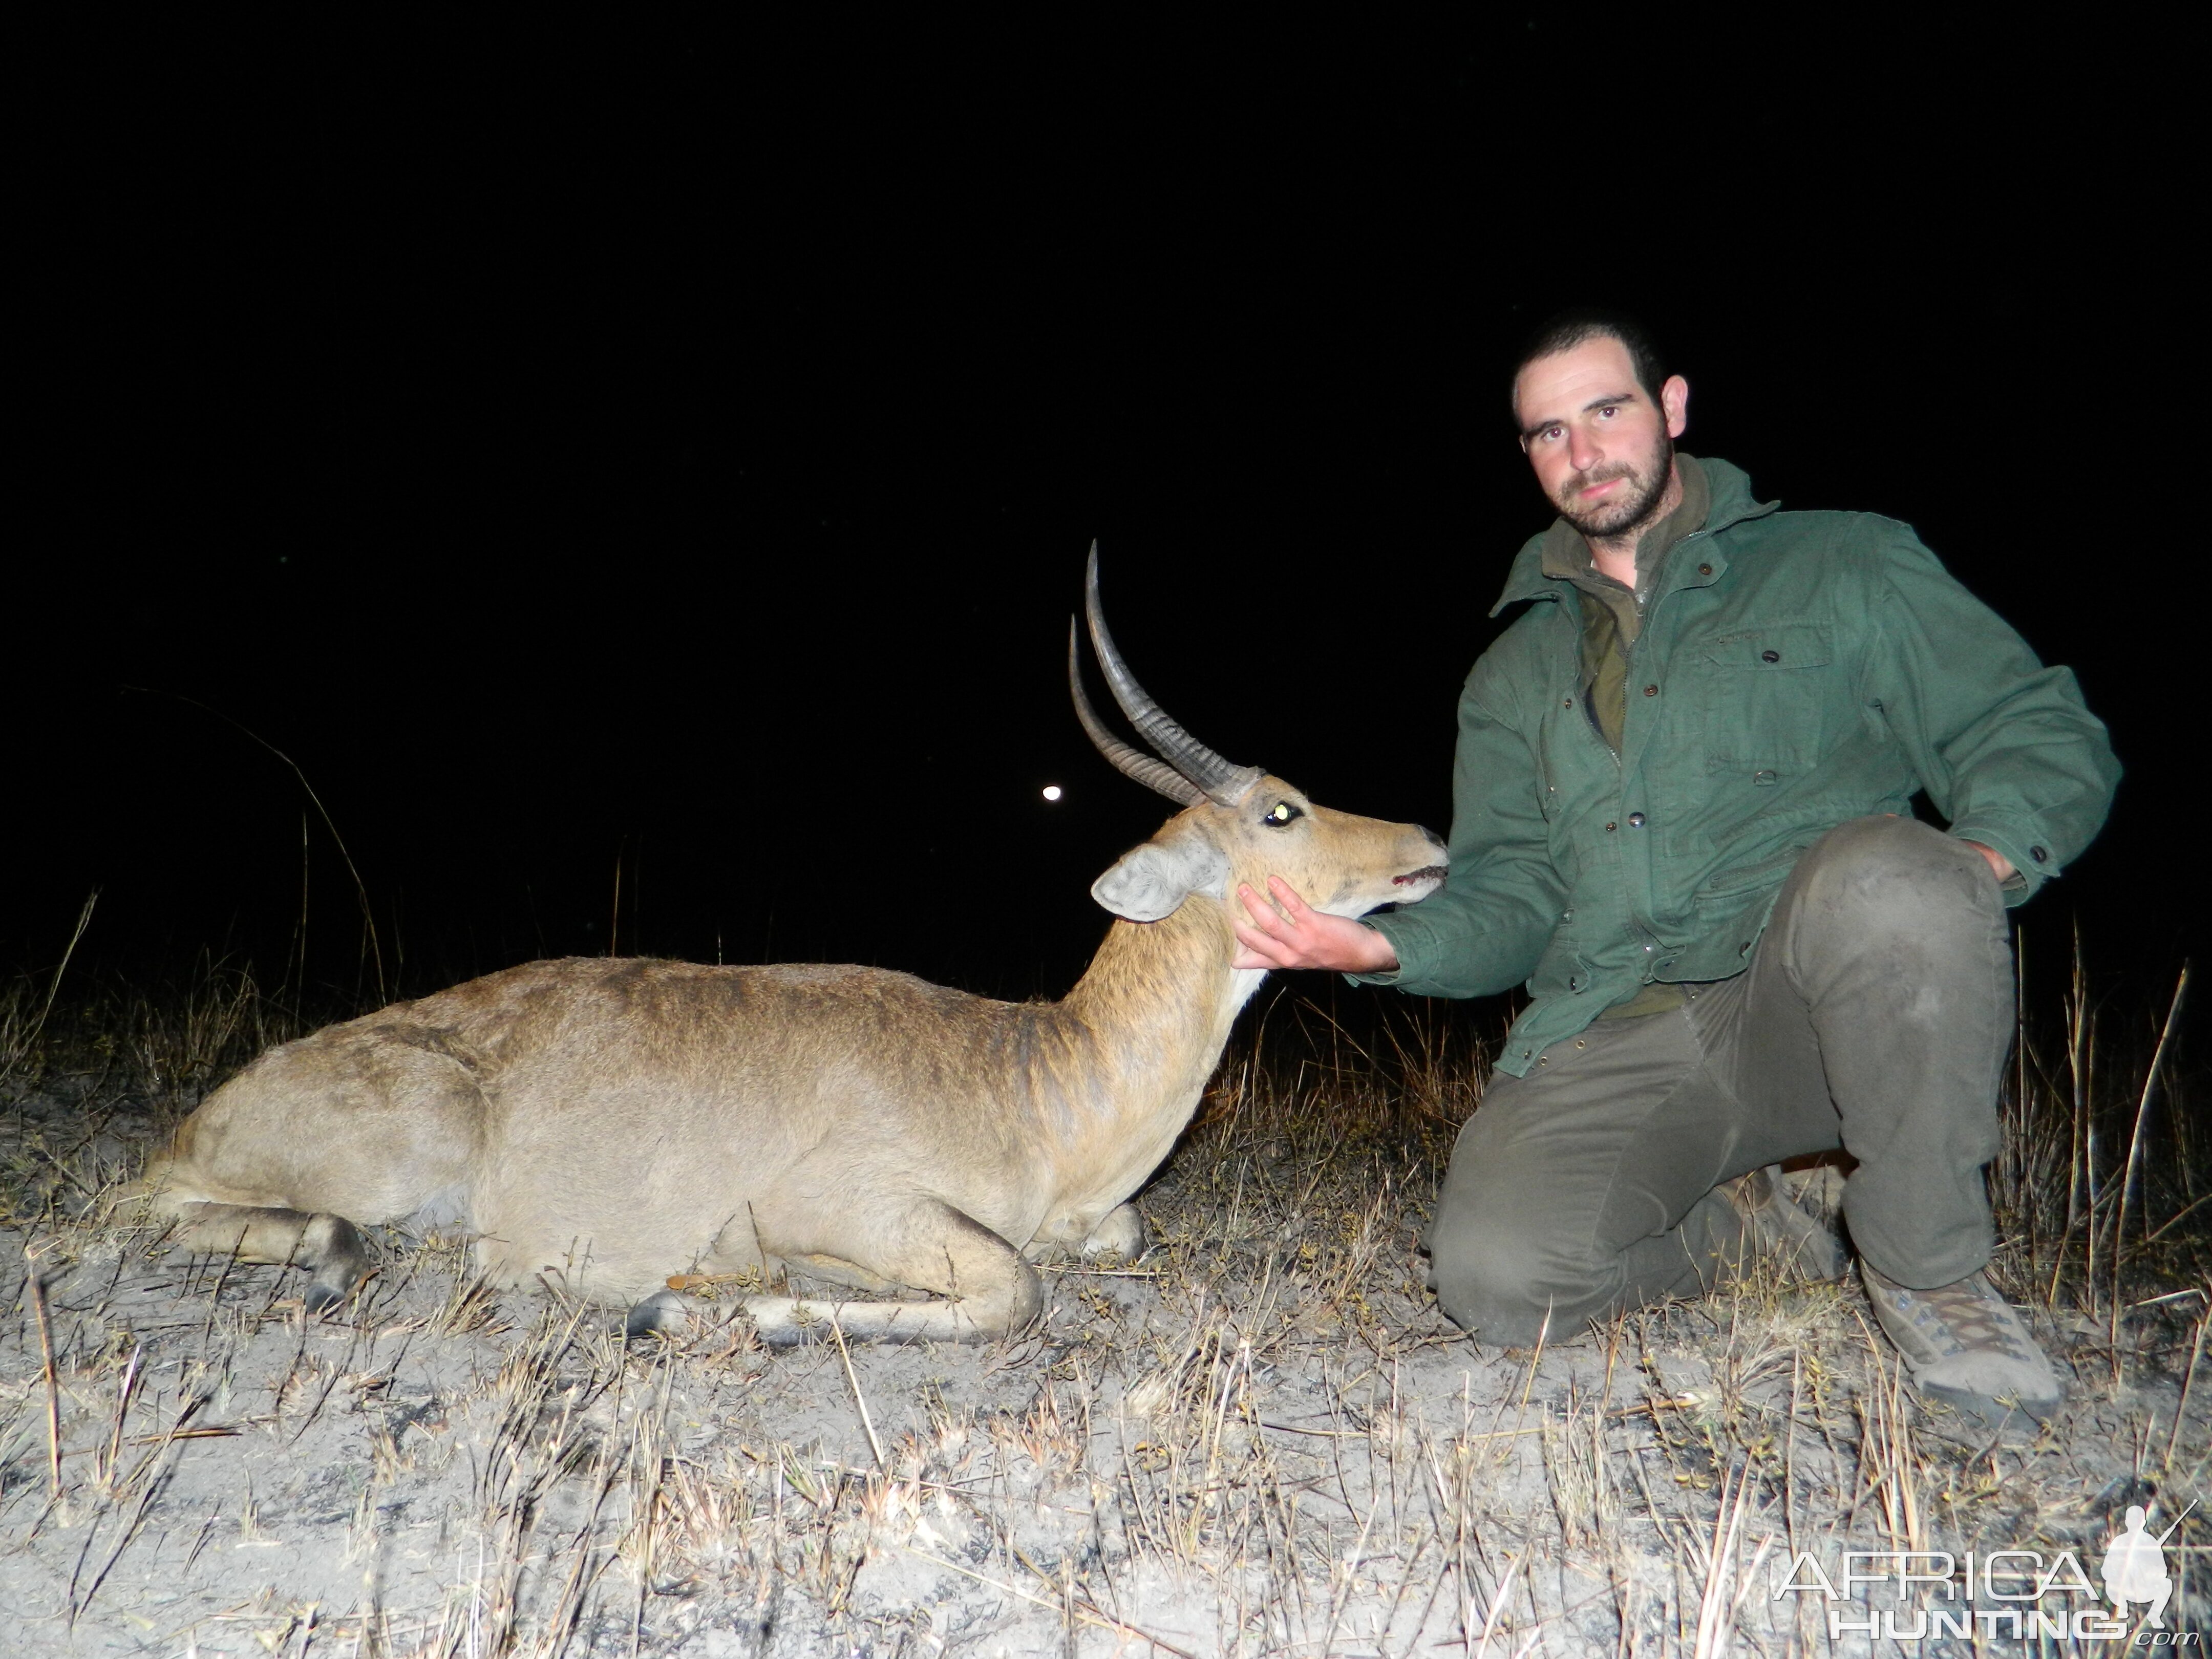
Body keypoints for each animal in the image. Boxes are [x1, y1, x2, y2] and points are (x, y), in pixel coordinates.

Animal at [138, 559, 1451, 1353]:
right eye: (1281, 809)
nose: (1429, 843)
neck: (1034, 1079)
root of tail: (205, 1113)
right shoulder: (843, 1201)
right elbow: (1015, 1288)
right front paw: (718, 1304)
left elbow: (1107, 1240)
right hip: (395, 1143)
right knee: (187, 1210)